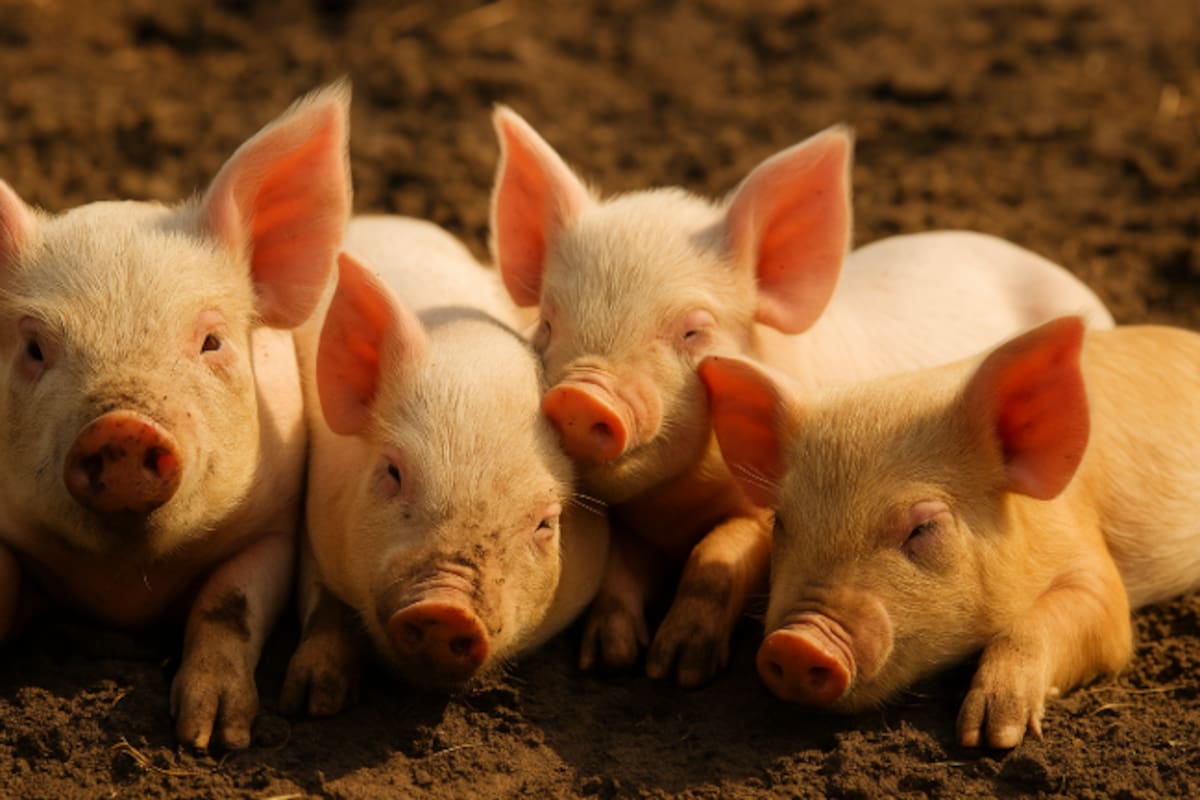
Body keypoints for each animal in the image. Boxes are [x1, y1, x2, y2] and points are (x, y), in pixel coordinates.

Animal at [0, 84, 351, 749]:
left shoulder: (273, 528)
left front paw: (212, 736)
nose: (122, 428)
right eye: (32, 348)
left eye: (211, 341)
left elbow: (226, 603)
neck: (126, 582)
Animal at [280, 216, 609, 716]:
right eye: (393, 472)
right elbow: (323, 604)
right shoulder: (316, 514)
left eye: (546, 523)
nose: (445, 609)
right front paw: (311, 701)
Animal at [488, 106, 1115, 687]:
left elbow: (718, 552)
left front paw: (678, 669)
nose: (580, 394)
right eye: (547, 325)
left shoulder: (758, 511)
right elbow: (619, 566)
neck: (675, 505)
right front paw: (608, 660)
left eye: (693, 331)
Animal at [700, 316, 1200, 748]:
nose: (797, 642)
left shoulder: (1091, 564)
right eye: (782, 522)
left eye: (923, 527)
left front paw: (991, 736)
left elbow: (1087, 626)